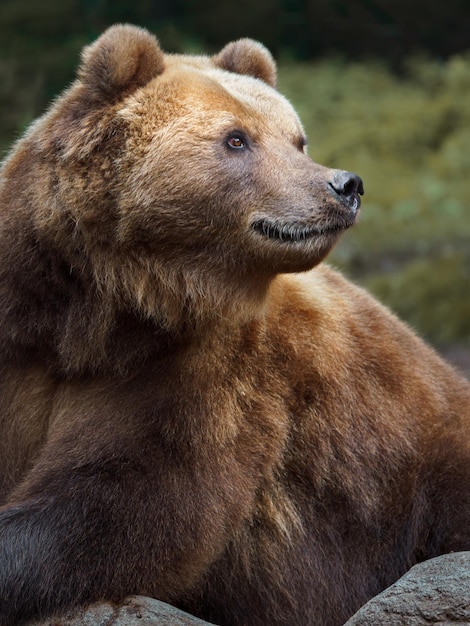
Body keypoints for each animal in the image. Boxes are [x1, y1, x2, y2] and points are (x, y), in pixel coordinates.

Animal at [0, 22, 470, 624]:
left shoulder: (201, 372)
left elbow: (131, 498)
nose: (345, 185)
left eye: (296, 139)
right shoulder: (21, 329)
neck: (94, 314)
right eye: (237, 139)